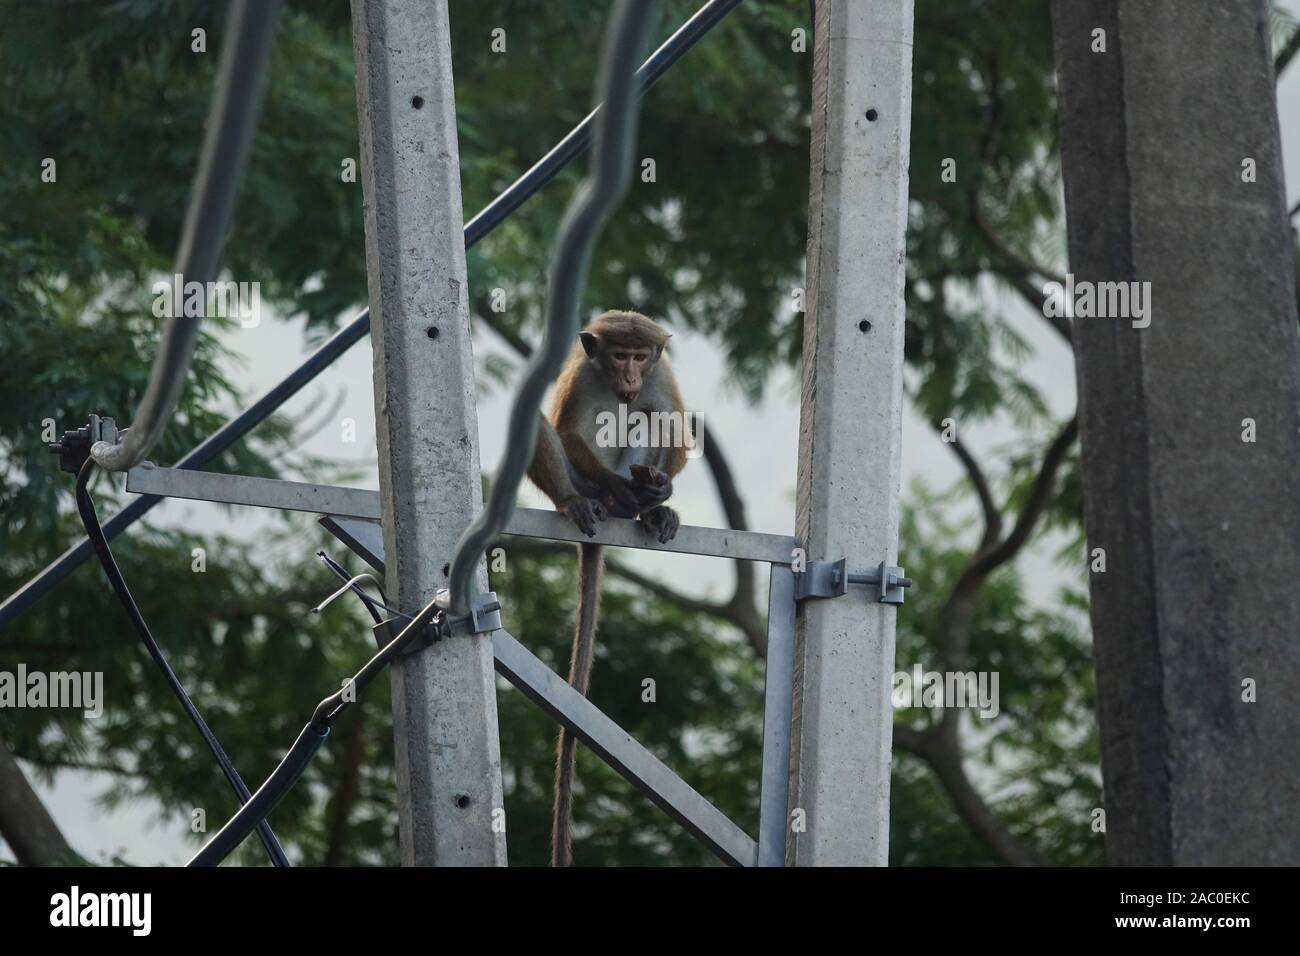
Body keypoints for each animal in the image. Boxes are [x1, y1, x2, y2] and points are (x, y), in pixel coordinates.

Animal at [525, 312, 691, 868]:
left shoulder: (663, 377)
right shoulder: (581, 375)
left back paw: (649, 508)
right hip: (582, 484)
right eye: (619, 355)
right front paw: (623, 488)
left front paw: (660, 490)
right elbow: (566, 429)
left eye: (640, 356)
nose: (631, 376)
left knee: (653, 419)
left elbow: (676, 427)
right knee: (543, 431)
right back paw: (588, 499)